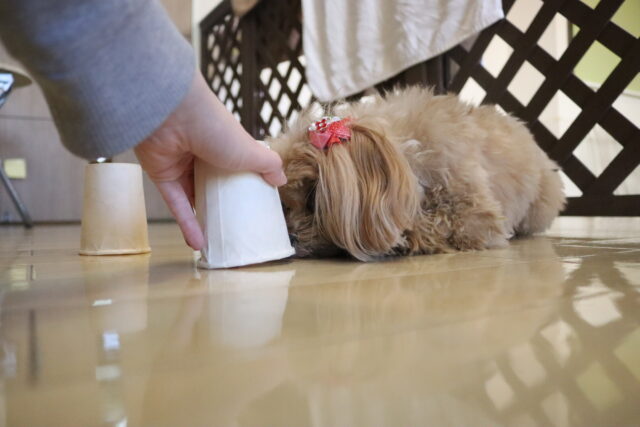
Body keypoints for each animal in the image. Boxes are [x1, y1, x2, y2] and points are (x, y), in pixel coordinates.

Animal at [269, 86, 566, 261]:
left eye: (313, 198)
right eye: (284, 205)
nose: (291, 237)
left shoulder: (477, 218)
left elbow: (441, 224)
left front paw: (406, 237)